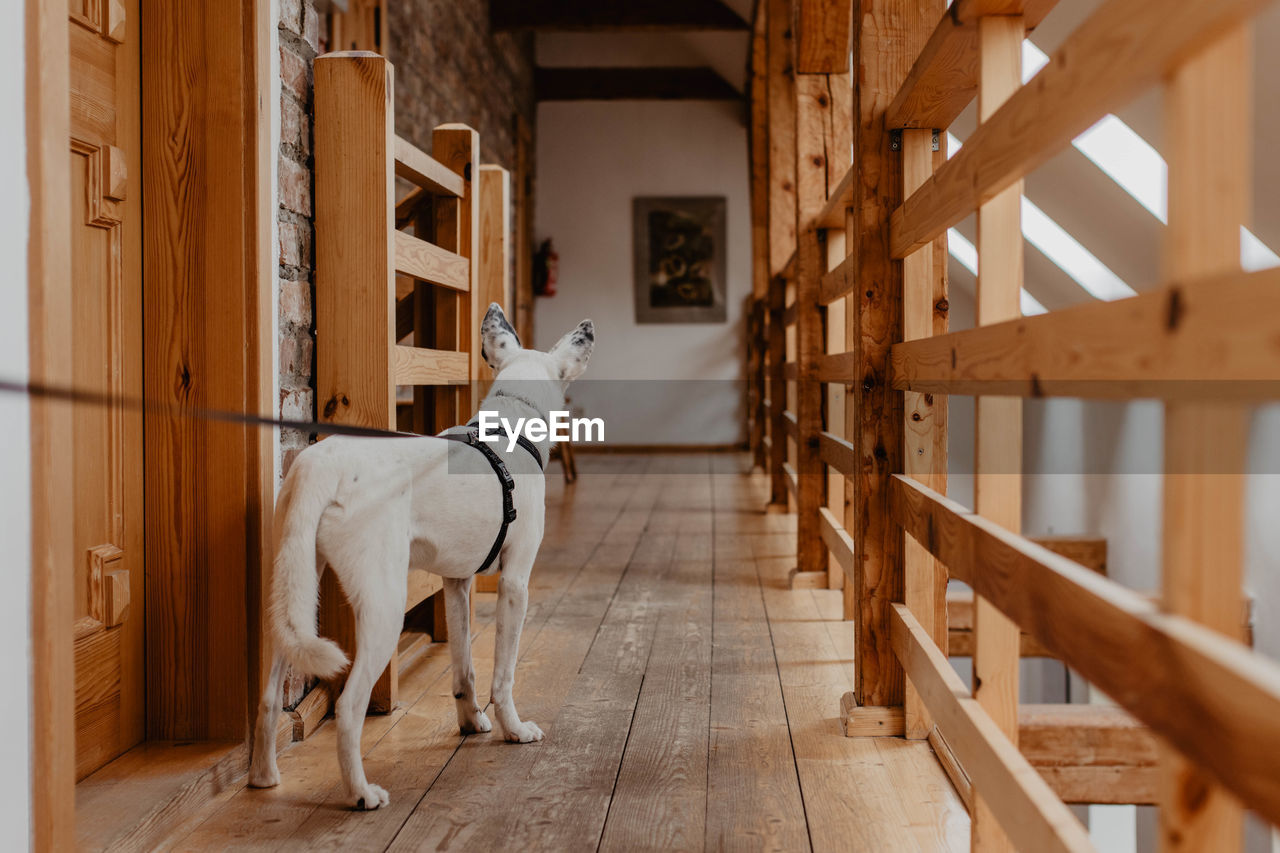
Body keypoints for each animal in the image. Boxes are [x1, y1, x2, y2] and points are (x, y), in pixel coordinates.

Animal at [247, 303, 596, 804]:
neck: (507, 428)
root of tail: (322, 463)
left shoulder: (457, 583)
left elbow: (464, 670)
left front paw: (471, 722)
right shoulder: (515, 584)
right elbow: (503, 674)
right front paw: (513, 729)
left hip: (292, 589)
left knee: (270, 695)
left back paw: (264, 776)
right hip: (383, 608)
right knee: (349, 708)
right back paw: (361, 793)